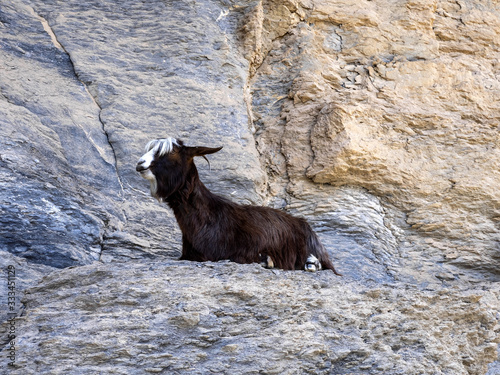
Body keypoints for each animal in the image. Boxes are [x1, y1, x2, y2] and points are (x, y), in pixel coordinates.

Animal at [136, 137, 340, 274]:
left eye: (170, 152)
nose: (140, 164)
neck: (208, 217)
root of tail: (303, 223)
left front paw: (266, 260)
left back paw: (309, 263)